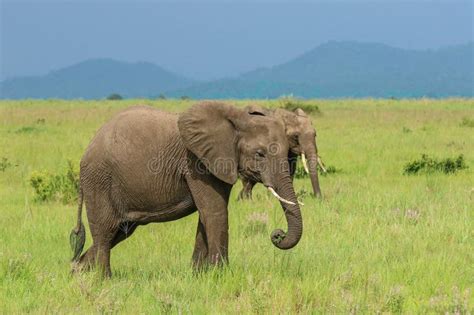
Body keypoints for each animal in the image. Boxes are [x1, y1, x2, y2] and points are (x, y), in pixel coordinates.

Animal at [70, 101, 304, 276]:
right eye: (260, 154)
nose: (277, 234)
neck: (237, 117)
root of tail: (86, 152)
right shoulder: (196, 162)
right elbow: (215, 212)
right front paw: (220, 274)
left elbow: (206, 214)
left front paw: (198, 275)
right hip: (99, 180)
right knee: (105, 231)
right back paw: (102, 279)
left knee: (119, 231)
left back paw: (77, 272)